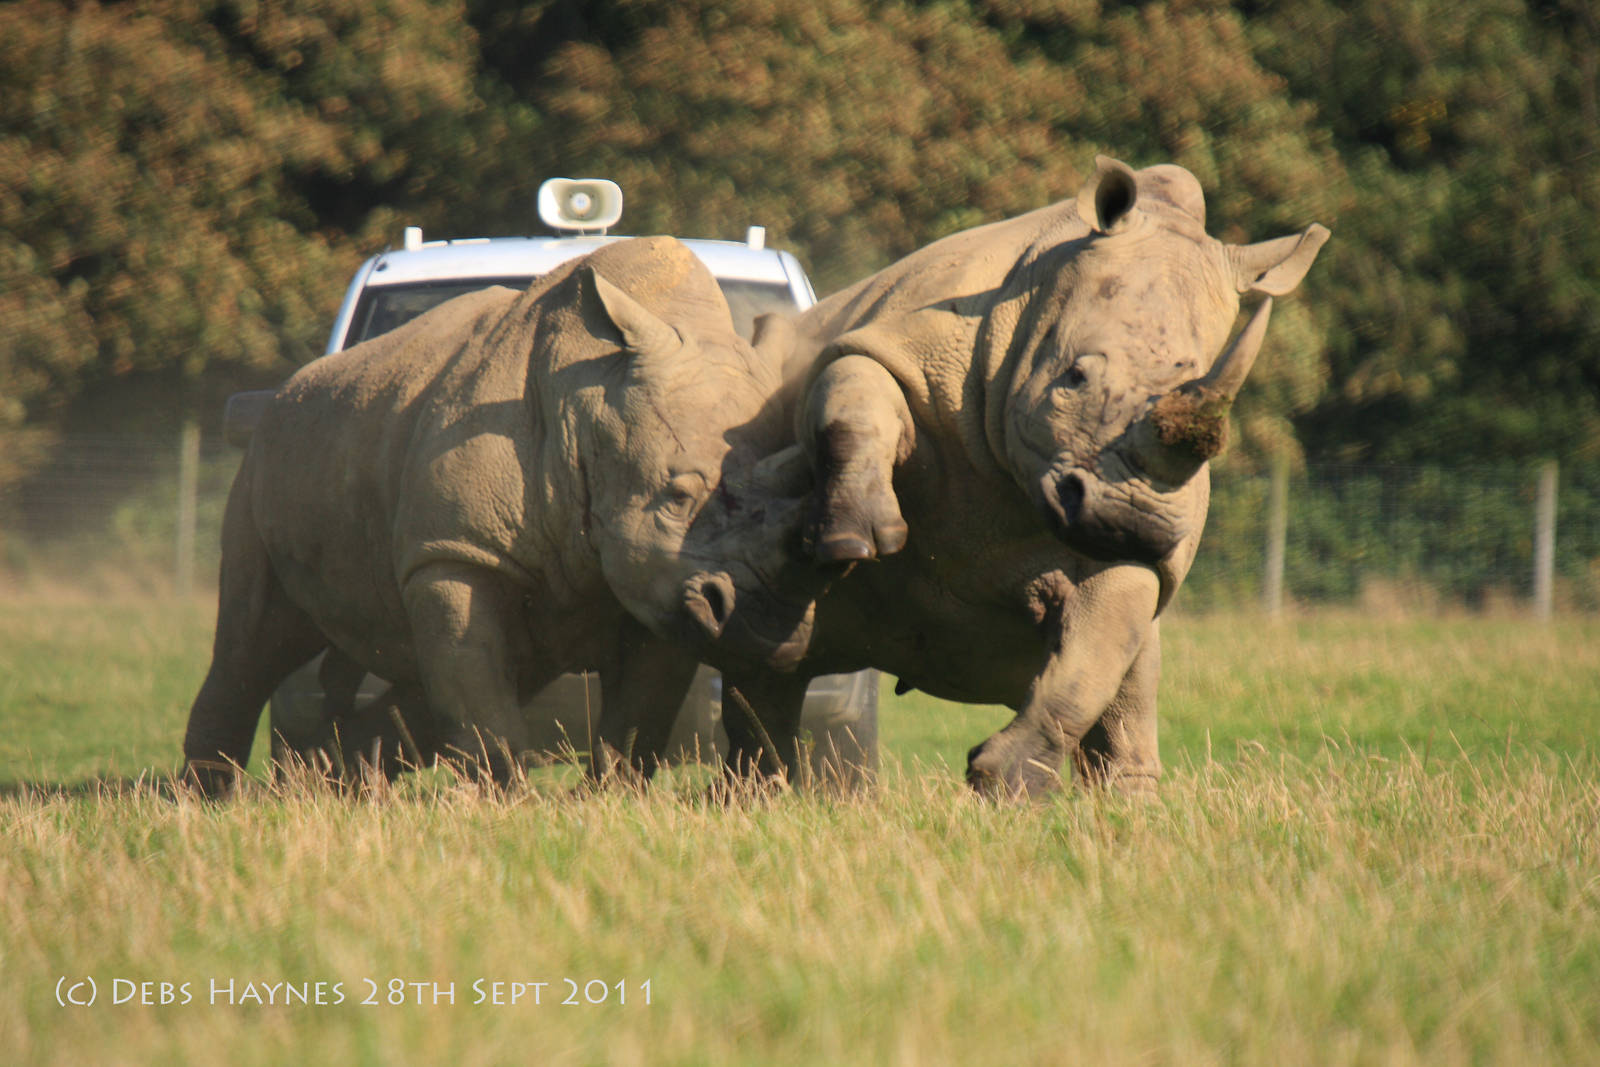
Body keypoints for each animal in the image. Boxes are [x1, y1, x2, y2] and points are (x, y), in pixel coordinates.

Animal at [182, 236, 821, 795]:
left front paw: (607, 801)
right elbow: (481, 694)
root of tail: (289, 386)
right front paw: (508, 804)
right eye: (677, 495)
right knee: (255, 641)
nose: (766, 620)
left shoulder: (662, 584)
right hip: (264, 461)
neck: (588, 403)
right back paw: (210, 800)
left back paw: (328, 784)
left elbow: (638, 715)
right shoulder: (457, 554)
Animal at [717, 157, 1328, 797]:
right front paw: (854, 539)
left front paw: (1005, 785)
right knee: (762, 651)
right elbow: (858, 394)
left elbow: (1095, 658)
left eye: (1216, 436)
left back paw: (1130, 804)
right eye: (1076, 377)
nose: (1127, 522)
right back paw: (757, 795)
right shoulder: (895, 346)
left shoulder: (1152, 543)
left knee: (1131, 684)